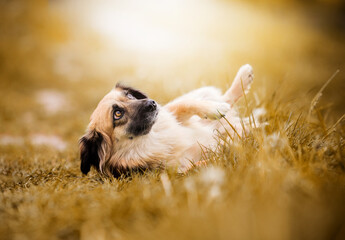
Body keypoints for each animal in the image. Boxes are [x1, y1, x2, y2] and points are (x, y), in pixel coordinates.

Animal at [79, 64, 260, 177]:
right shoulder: (178, 170)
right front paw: (230, 152)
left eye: (129, 95)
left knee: (225, 99)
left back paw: (243, 78)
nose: (152, 103)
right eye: (117, 114)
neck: (153, 136)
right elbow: (206, 163)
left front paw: (215, 109)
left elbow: (188, 104)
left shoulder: (175, 111)